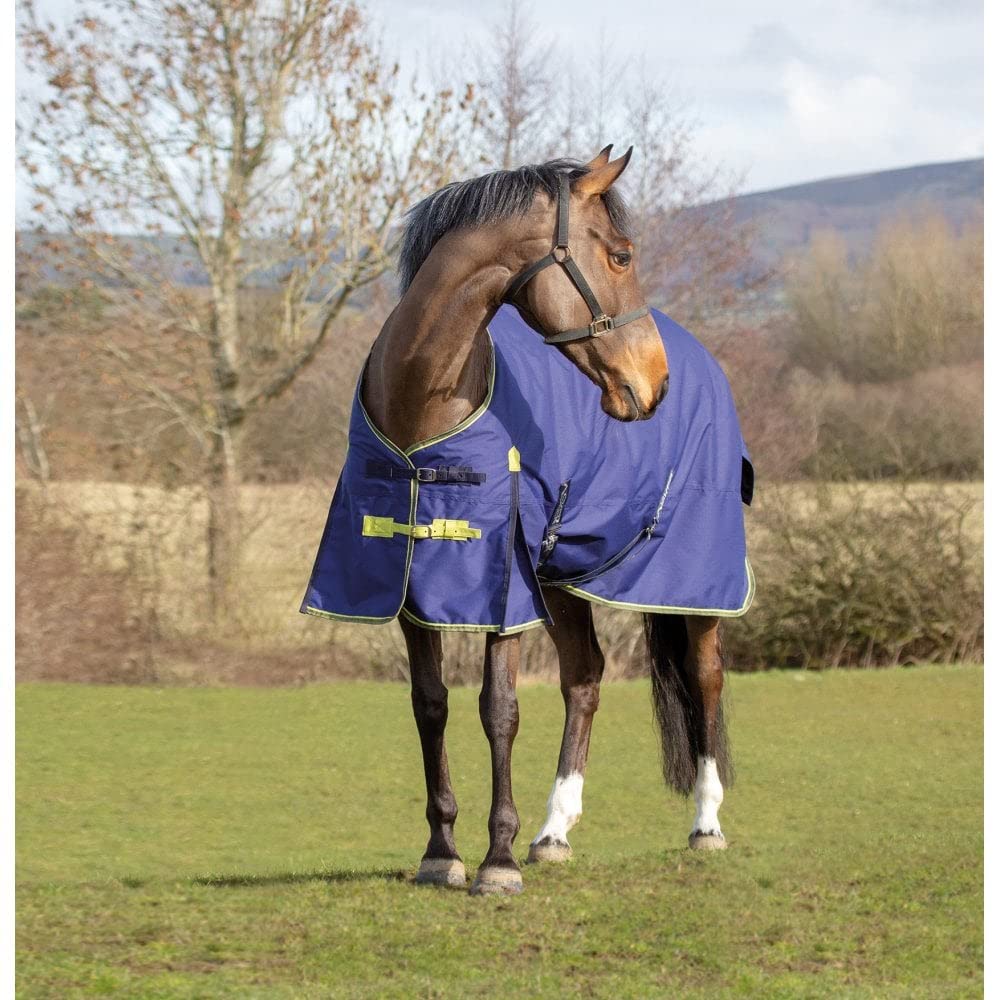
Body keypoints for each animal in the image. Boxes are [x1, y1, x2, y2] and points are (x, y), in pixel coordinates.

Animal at [304, 146, 749, 895]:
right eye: (621, 255)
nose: (653, 382)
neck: (423, 405)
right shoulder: (410, 586)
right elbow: (431, 704)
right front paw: (442, 853)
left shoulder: (500, 588)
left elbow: (499, 710)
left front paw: (498, 862)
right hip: (563, 576)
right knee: (586, 678)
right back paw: (553, 833)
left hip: (693, 579)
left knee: (706, 676)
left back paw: (706, 824)